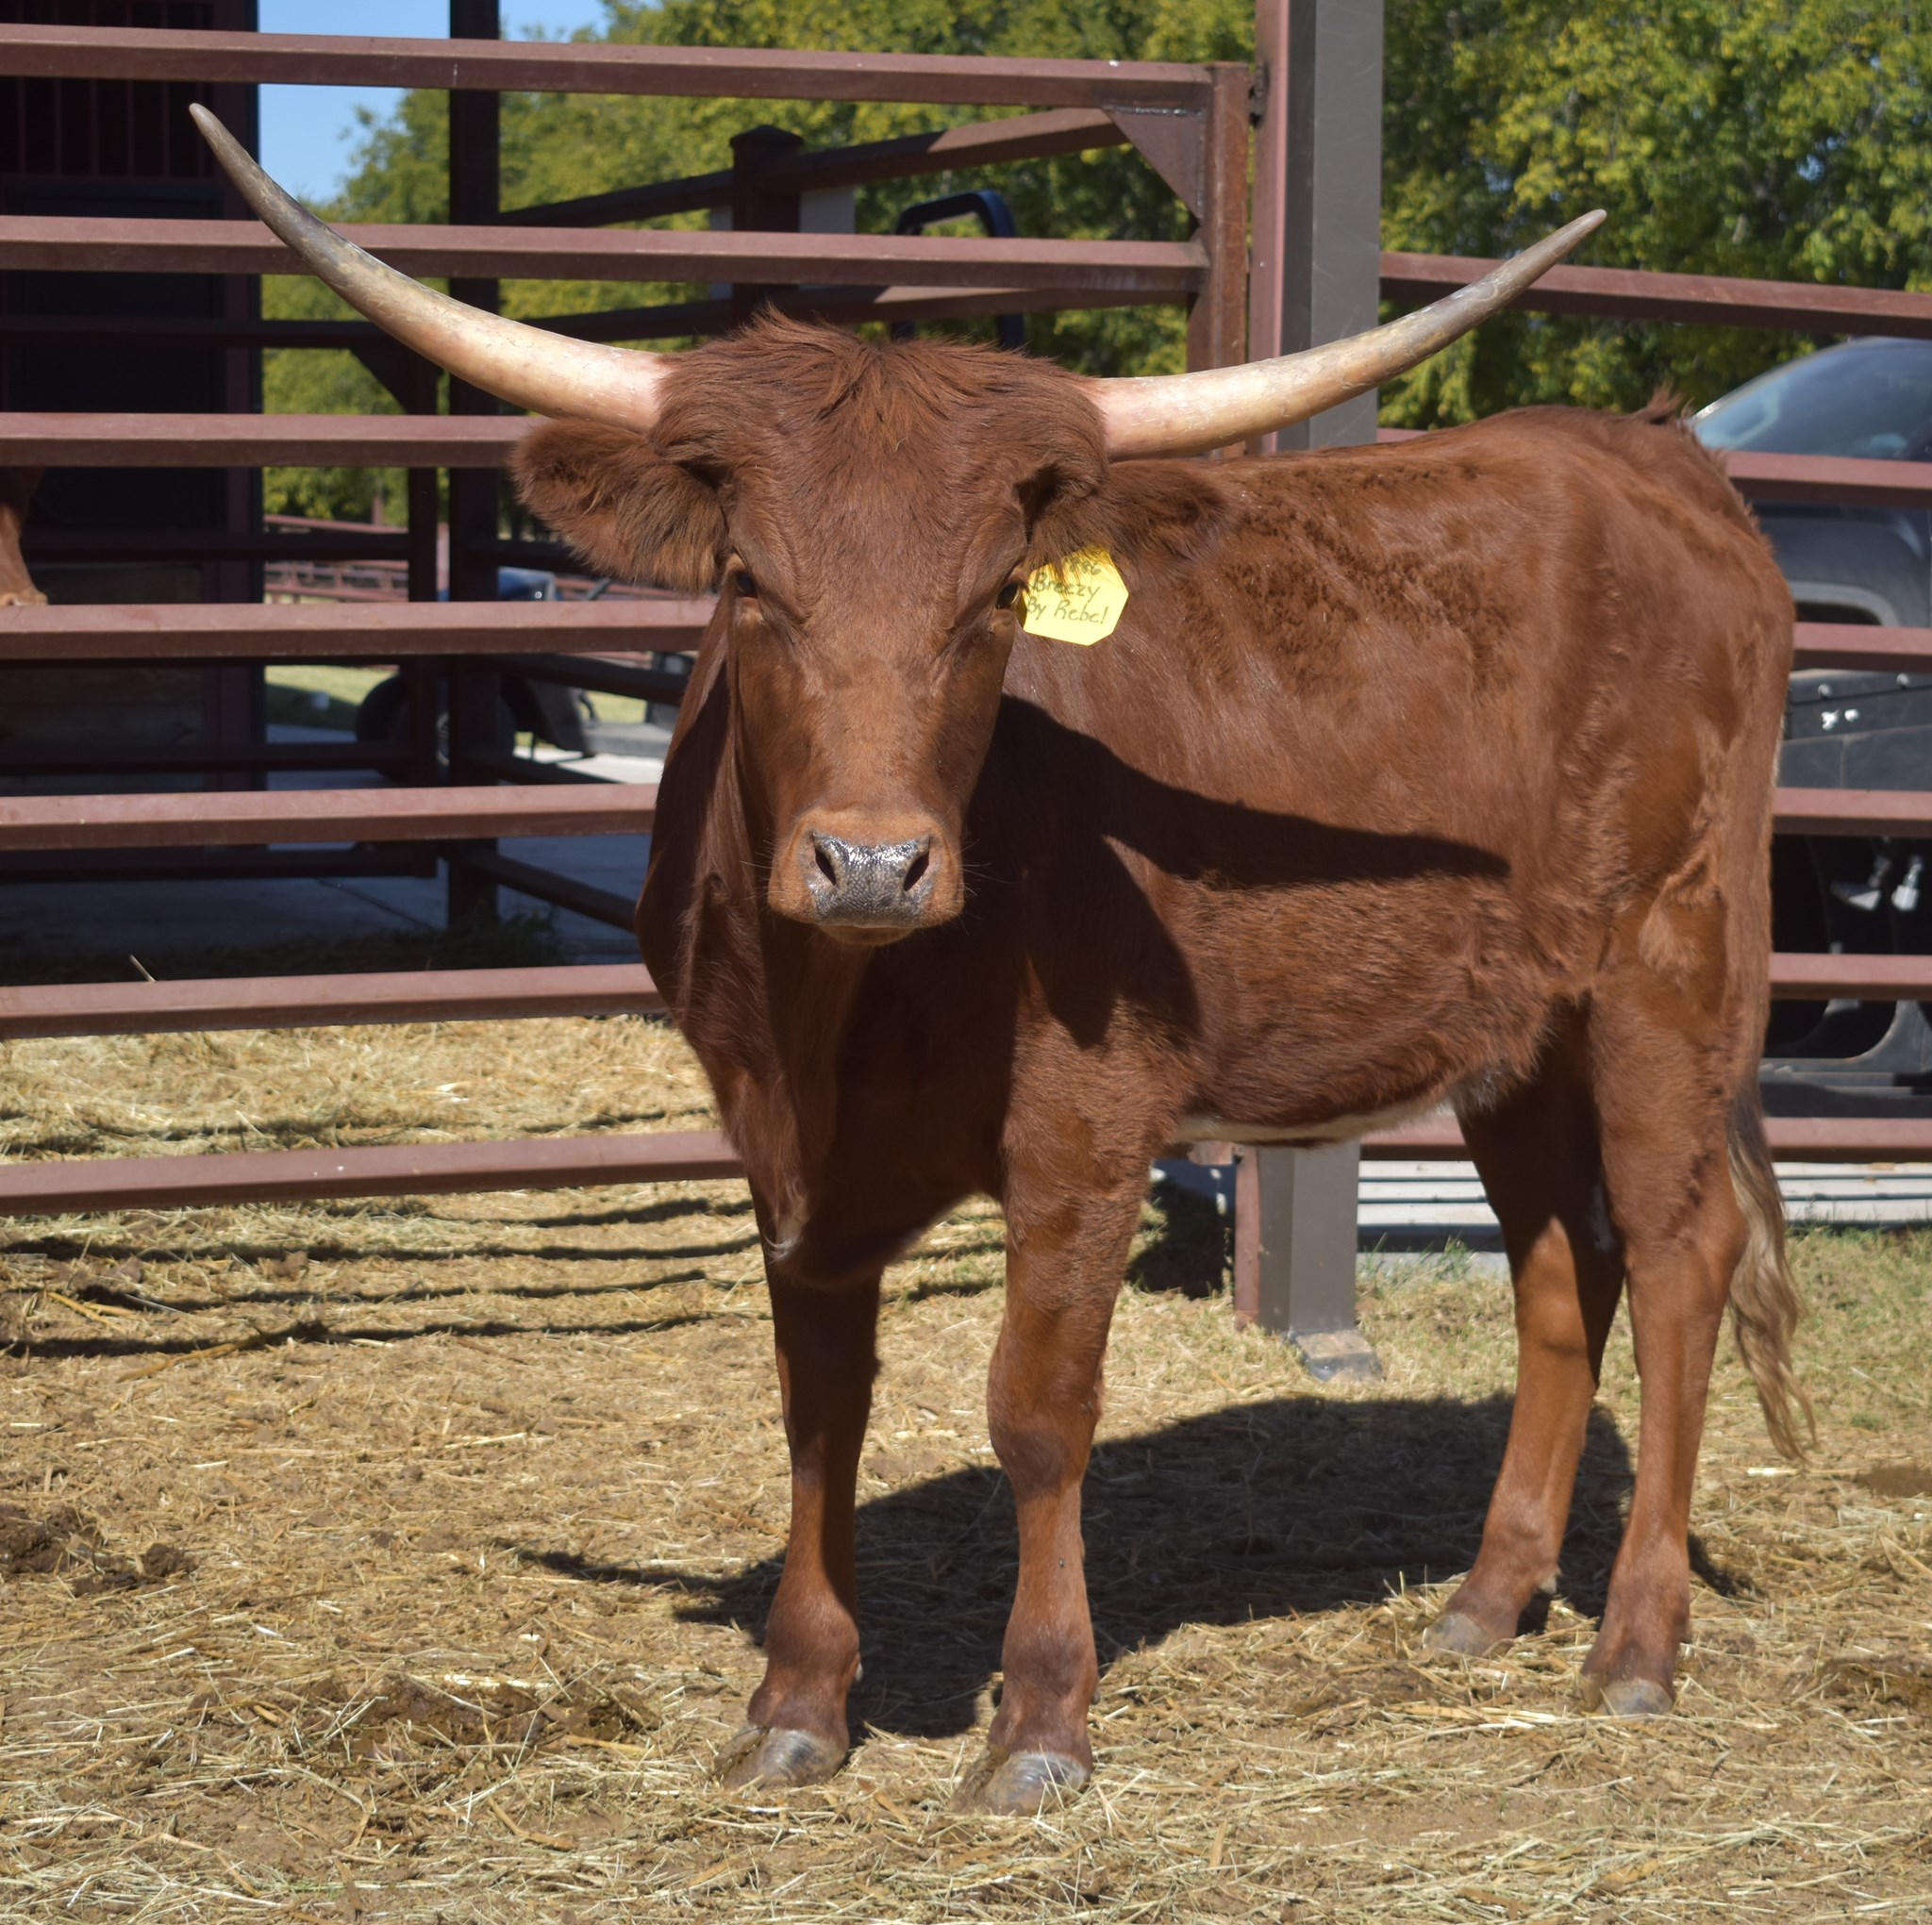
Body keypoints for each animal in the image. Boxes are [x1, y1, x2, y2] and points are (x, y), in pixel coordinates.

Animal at [196, 107, 1808, 1814]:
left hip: (1671, 970)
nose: (871, 862)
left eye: (994, 603)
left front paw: (1038, 1720)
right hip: (1512, 1027)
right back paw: (1488, 1600)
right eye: (749, 585)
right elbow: (817, 1405)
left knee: (1678, 1259)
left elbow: (1036, 1412)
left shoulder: (1085, 1127)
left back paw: (1632, 1644)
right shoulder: (777, 1142)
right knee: (1559, 1269)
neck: (837, 1011)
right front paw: (797, 1698)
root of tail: (1649, 455)